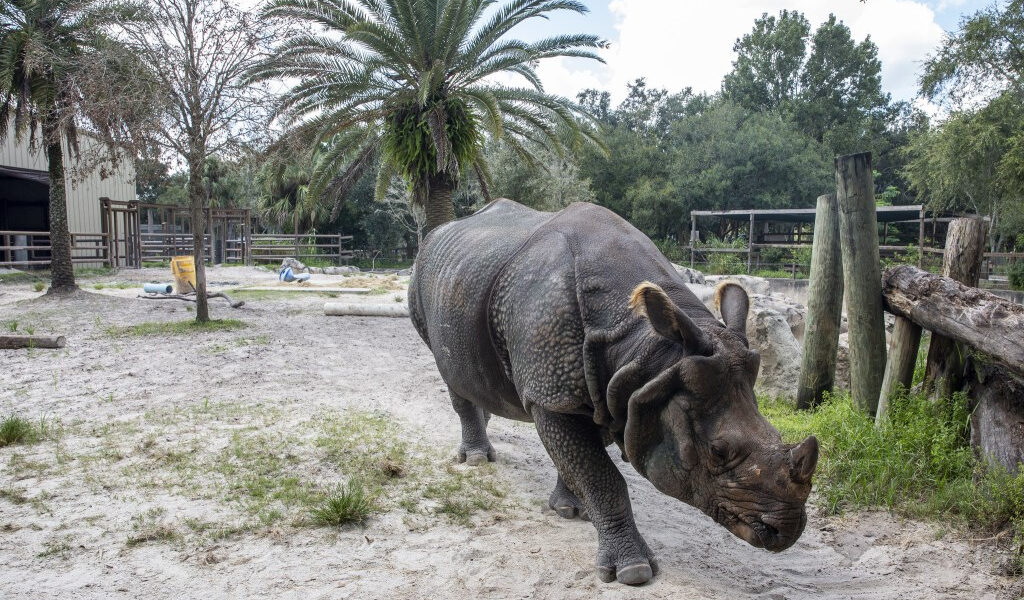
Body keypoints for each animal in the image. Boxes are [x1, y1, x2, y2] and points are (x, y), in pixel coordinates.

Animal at [409, 200, 818, 585]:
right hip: (421, 284)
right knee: (447, 370)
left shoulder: (615, 388)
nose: (786, 531)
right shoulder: (552, 393)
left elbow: (581, 460)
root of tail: (437, 234)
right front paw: (633, 572)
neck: (647, 348)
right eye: (719, 452)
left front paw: (572, 509)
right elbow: (601, 476)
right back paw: (477, 460)